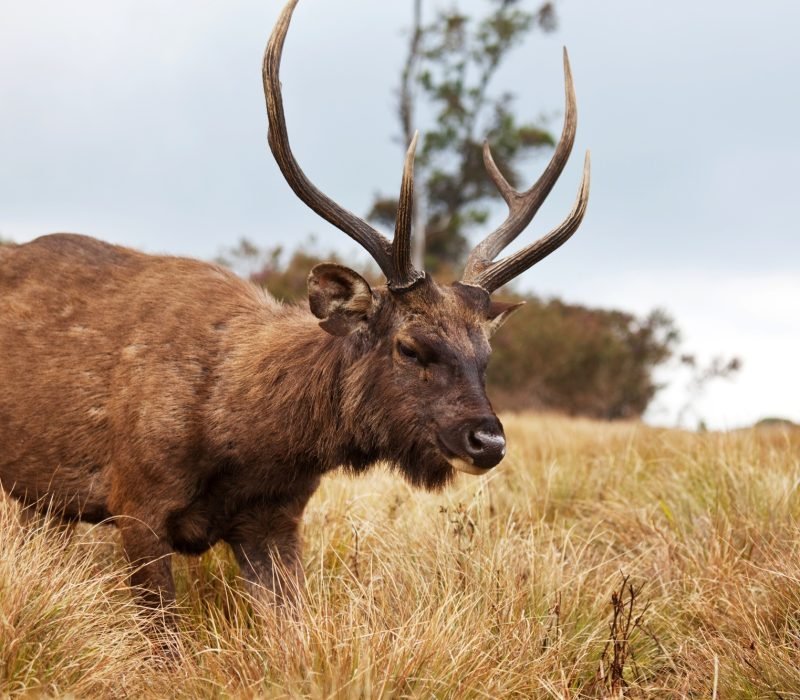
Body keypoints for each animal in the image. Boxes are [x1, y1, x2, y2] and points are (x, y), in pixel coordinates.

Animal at [0, 0, 589, 615]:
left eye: (486, 356)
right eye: (410, 346)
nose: (488, 441)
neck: (243, 435)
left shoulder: (274, 520)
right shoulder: (135, 500)